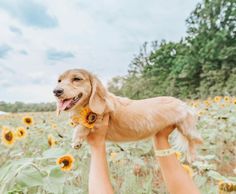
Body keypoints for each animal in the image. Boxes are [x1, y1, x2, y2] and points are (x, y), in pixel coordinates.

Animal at [53, 68, 203, 161]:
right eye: (59, 80)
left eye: (77, 78)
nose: (56, 91)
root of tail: (183, 104)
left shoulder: (104, 113)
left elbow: (84, 125)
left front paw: (77, 139)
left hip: (187, 128)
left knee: (196, 140)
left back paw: (192, 155)